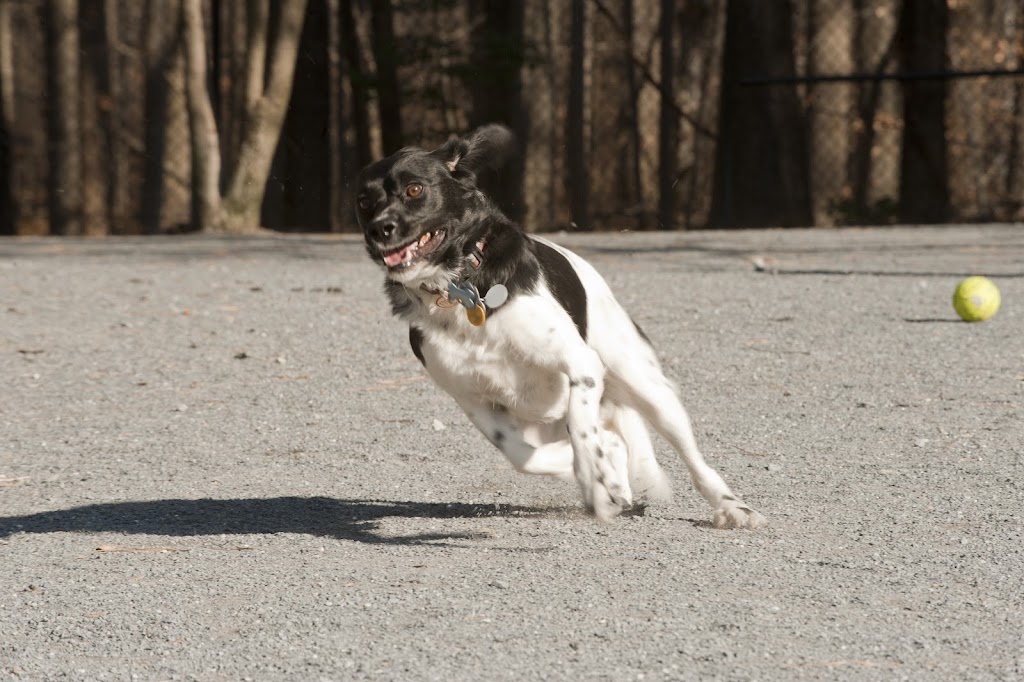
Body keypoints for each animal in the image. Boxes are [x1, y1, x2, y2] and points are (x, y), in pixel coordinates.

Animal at [356, 123, 765, 524]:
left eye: (414, 189)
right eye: (363, 202)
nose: (379, 229)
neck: (460, 289)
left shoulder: (581, 365)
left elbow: (582, 431)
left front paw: (597, 481)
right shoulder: (474, 400)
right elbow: (524, 456)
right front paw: (602, 481)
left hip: (648, 388)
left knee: (692, 459)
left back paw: (732, 507)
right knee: (610, 442)